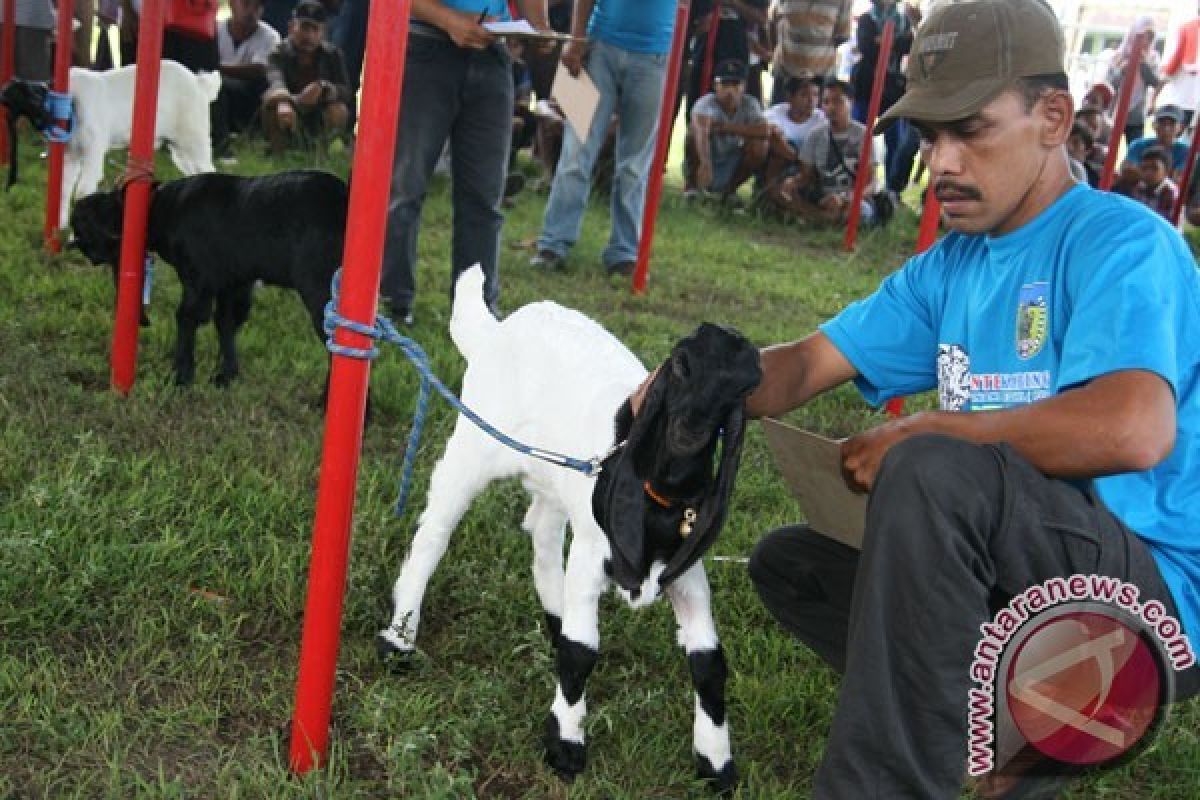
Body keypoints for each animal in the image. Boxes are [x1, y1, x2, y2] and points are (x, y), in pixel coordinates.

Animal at [69, 170, 345, 388]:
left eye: (83, 225)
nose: (77, 245)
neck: (161, 208)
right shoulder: (234, 284)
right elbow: (225, 322)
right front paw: (226, 376)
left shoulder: (198, 278)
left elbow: (186, 317)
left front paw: (181, 377)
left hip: (319, 288)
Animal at [379, 266, 763, 791]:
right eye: (680, 364)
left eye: (745, 388)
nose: (687, 435)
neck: (662, 498)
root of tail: (496, 331)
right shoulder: (591, 556)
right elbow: (582, 652)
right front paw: (565, 745)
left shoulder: (687, 574)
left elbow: (709, 663)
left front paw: (716, 761)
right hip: (474, 443)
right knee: (435, 529)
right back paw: (400, 635)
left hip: (556, 482)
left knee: (542, 531)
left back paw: (554, 617)